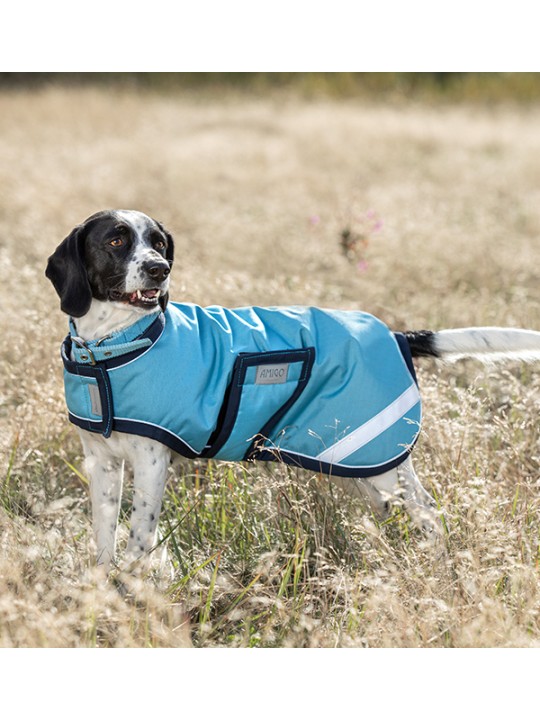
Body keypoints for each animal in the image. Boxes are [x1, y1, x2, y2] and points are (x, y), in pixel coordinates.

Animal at [46, 210, 540, 572]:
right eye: (116, 241)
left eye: (160, 243)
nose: (158, 269)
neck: (110, 349)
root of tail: (398, 336)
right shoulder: (101, 463)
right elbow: (104, 534)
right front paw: (103, 584)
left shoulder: (151, 461)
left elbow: (138, 538)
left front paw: (130, 588)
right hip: (362, 466)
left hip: (381, 463)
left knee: (429, 511)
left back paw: (436, 568)